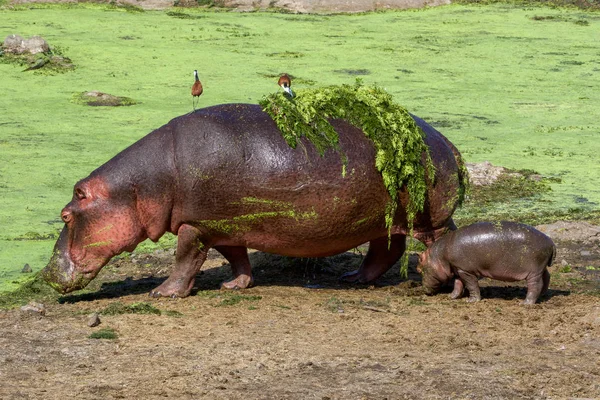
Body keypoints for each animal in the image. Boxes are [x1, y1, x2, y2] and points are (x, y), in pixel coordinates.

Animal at [42, 103, 466, 296]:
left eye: (65, 215)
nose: (46, 274)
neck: (140, 185)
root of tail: (445, 140)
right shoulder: (224, 225)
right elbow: (236, 257)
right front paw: (236, 286)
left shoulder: (195, 225)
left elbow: (185, 260)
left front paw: (162, 293)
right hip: (382, 219)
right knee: (386, 249)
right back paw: (354, 279)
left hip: (430, 218)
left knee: (439, 239)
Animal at [420, 222, 556, 304]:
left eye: (419, 269)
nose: (423, 290)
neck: (440, 255)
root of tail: (551, 242)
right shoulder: (459, 269)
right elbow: (458, 284)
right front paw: (452, 297)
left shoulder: (466, 271)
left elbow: (471, 285)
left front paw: (471, 300)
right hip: (541, 268)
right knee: (546, 277)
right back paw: (542, 295)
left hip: (534, 270)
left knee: (535, 285)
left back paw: (525, 303)